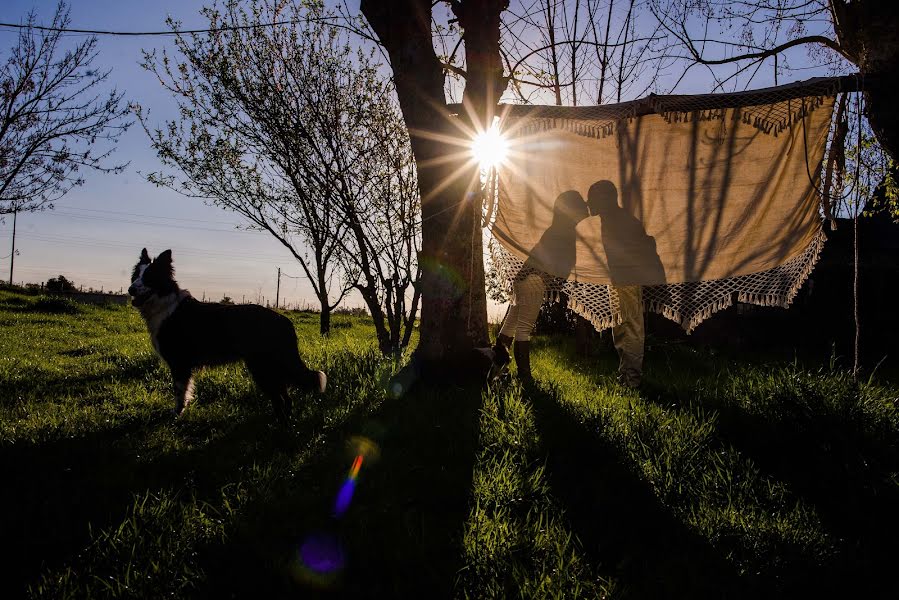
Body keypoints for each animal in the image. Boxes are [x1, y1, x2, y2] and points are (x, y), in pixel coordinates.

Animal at [125, 248, 326, 422]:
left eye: (149, 277)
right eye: (135, 276)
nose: (130, 290)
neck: (164, 303)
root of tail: (284, 321)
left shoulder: (180, 363)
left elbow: (179, 393)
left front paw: (176, 416)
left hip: (261, 366)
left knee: (279, 397)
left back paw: (279, 425)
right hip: (270, 366)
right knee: (285, 397)